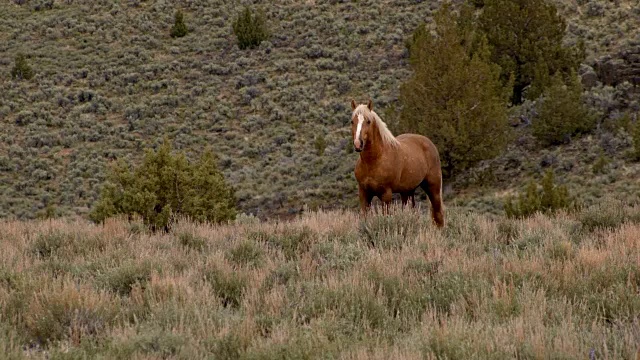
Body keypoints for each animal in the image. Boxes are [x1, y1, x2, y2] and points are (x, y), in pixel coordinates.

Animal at [350, 98, 444, 228]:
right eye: (352, 122)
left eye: (368, 121)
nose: (358, 144)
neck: (373, 161)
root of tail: (429, 143)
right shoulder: (364, 193)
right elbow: (364, 218)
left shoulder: (386, 194)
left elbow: (386, 216)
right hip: (407, 191)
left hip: (433, 188)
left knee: (438, 214)